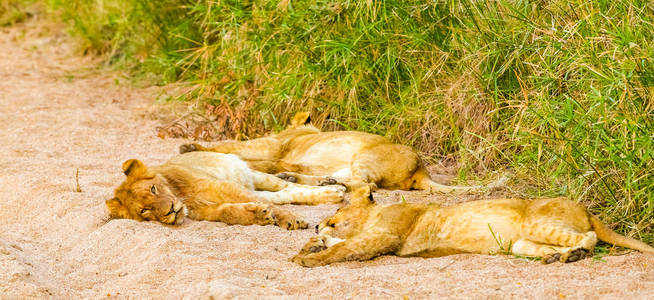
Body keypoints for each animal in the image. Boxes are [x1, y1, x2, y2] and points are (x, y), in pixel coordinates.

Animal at [105, 152, 346, 230]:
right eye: (144, 211)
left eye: (153, 188)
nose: (170, 211)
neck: (184, 198)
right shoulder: (208, 211)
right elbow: (229, 213)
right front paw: (260, 215)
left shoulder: (224, 186)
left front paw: (291, 220)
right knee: (284, 193)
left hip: (246, 173)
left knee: (289, 187)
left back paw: (333, 188)